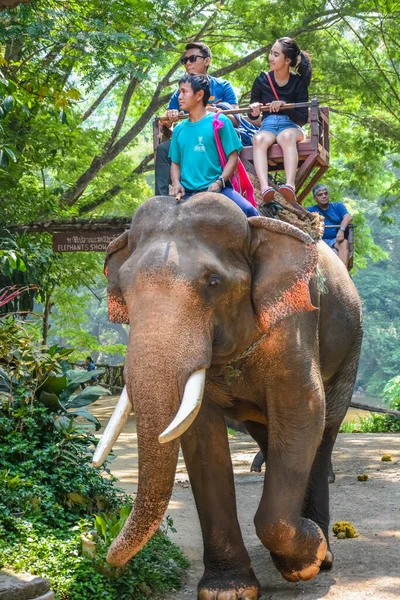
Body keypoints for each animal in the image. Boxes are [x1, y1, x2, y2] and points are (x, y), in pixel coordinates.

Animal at [93, 193, 362, 600]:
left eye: (214, 282)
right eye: (122, 290)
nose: (105, 554)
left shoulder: (295, 322)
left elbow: (303, 411)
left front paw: (306, 561)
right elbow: (200, 438)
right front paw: (227, 591)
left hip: (351, 343)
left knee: (325, 429)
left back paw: (322, 553)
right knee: (268, 434)